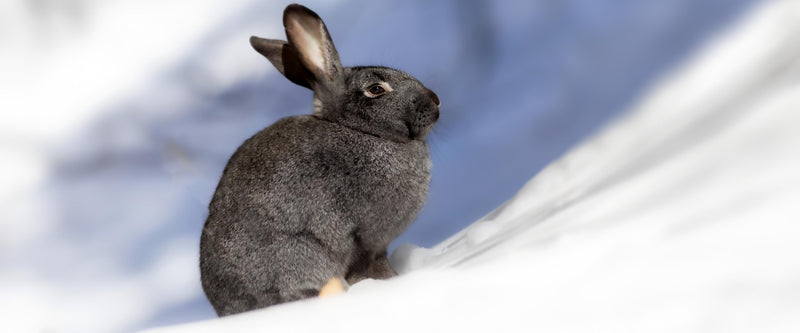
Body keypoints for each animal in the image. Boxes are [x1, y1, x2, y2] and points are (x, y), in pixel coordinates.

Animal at [198, 3, 440, 316]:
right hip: (301, 257)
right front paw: (393, 281)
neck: (360, 130)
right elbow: (373, 263)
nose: (435, 101)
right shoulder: (370, 237)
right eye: (376, 89)